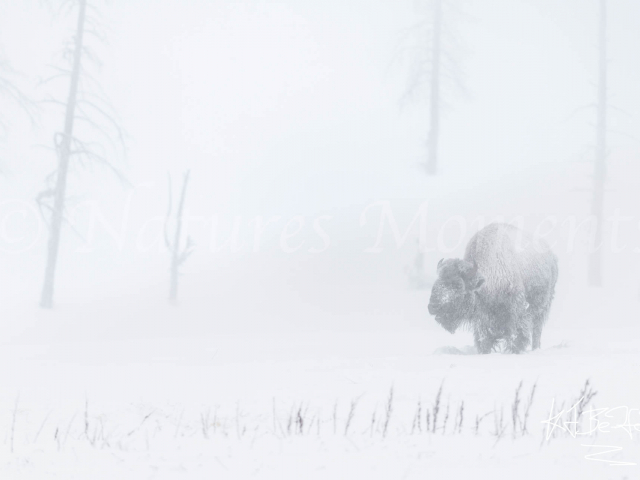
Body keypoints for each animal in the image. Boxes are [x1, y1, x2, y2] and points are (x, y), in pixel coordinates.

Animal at [428, 223, 558, 354]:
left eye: (458, 285)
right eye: (437, 281)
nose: (432, 307)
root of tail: (551, 255)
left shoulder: (516, 312)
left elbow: (516, 336)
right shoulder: (482, 320)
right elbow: (484, 340)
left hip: (543, 308)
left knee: (537, 330)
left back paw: (535, 348)